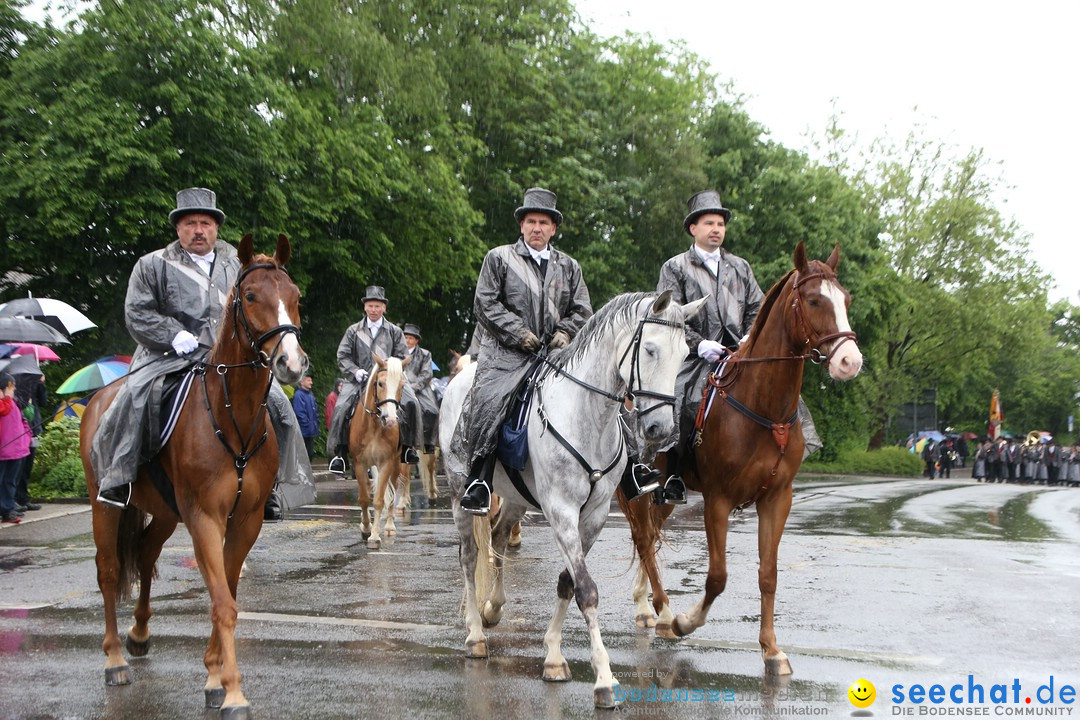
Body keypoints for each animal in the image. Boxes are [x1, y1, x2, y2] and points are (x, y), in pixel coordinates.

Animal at [79, 234, 306, 716]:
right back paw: (114, 657)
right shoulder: (204, 517)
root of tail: (100, 398)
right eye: (251, 296)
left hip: (166, 513)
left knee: (145, 555)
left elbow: (228, 590)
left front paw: (214, 676)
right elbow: (222, 602)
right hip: (103, 504)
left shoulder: (246, 520)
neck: (232, 414)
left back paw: (139, 634)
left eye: (295, 296)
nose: (292, 364)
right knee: (109, 571)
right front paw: (232, 690)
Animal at [349, 351, 408, 548]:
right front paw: (365, 528)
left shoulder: (386, 463)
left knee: (393, 489)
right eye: (380, 383)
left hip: (396, 464)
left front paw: (374, 535)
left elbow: (379, 500)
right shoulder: (359, 464)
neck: (374, 426)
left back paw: (389, 525)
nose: (390, 420)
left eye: (402, 385)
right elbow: (364, 499)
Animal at [442, 289, 704, 708]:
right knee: (469, 557)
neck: (587, 417)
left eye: (683, 355)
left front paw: (552, 656)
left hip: (516, 498)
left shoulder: (592, 516)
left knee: (498, 538)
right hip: (457, 495)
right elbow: (587, 590)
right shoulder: (562, 511)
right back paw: (475, 635)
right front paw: (604, 678)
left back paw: (493, 609)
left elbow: (568, 583)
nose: (660, 430)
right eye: (649, 350)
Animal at [622, 241, 864, 677]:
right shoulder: (717, 501)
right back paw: (664, 613)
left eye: (846, 299)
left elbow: (768, 574)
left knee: (649, 537)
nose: (849, 362)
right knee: (645, 541)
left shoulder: (777, 499)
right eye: (814, 300)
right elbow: (717, 577)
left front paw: (771, 649)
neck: (761, 404)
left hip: (665, 494)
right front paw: (684, 622)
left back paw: (646, 606)